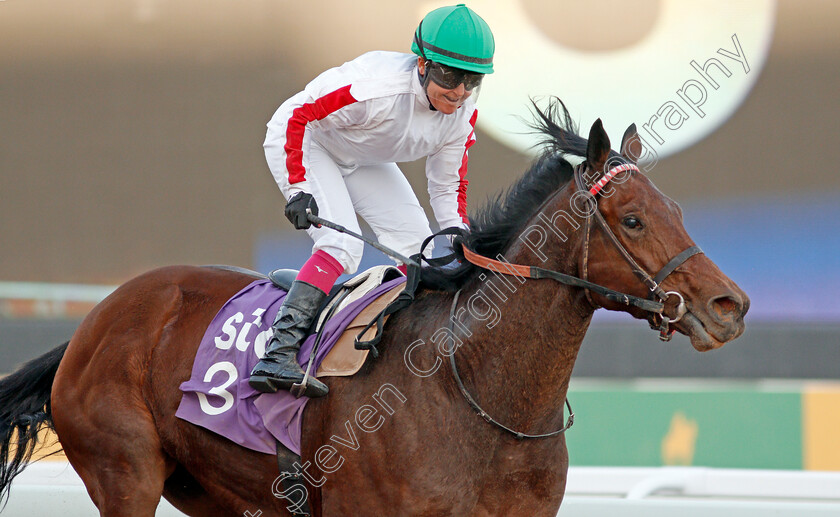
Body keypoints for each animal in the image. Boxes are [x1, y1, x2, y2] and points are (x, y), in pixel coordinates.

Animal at [0, 99, 748, 512]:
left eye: (676, 211)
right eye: (632, 221)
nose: (730, 304)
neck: (475, 390)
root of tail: (94, 323)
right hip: (124, 473)